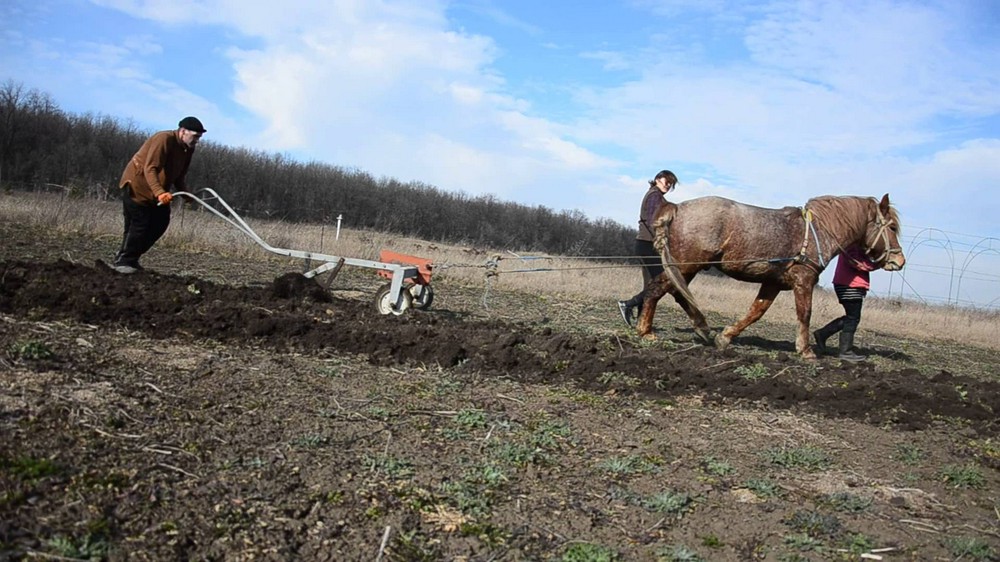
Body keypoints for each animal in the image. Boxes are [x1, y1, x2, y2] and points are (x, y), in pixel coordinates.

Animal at [640, 194, 908, 358]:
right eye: (893, 227)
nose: (900, 261)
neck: (817, 232)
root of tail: (677, 208)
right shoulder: (804, 280)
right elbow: (805, 313)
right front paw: (805, 351)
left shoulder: (772, 283)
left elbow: (756, 311)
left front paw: (725, 338)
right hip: (686, 265)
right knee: (657, 289)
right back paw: (645, 331)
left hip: (687, 268)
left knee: (675, 292)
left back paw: (703, 329)